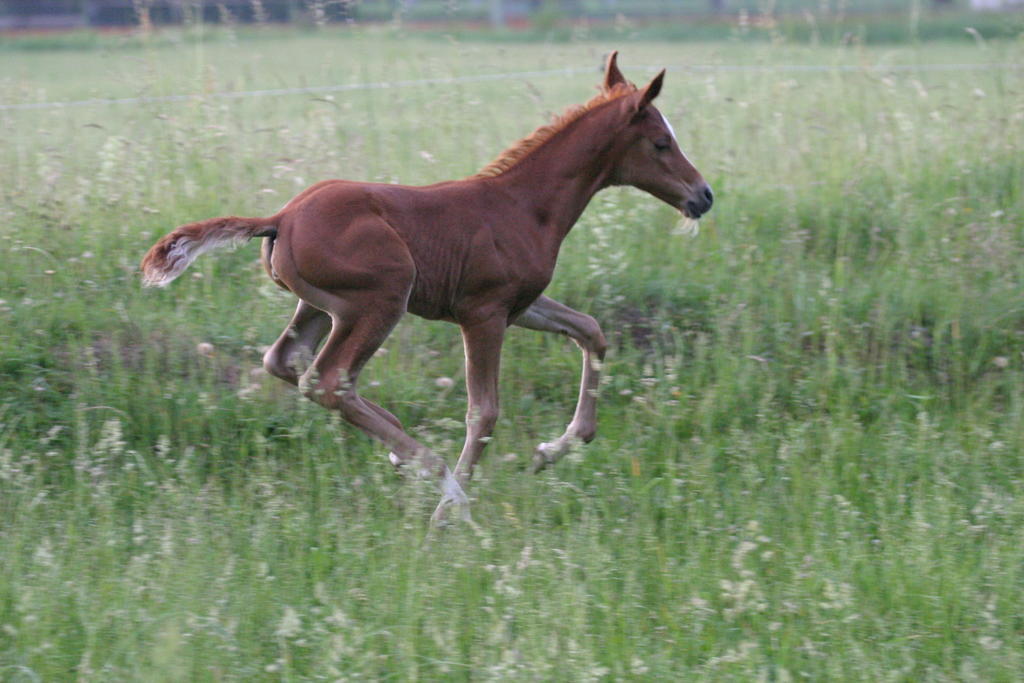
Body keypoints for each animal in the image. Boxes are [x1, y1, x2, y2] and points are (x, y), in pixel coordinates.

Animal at [140, 53, 708, 524]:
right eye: (661, 142)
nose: (703, 196)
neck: (524, 205)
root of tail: (280, 217)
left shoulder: (520, 305)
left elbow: (591, 331)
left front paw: (551, 451)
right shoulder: (484, 312)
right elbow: (484, 411)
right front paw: (451, 514)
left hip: (320, 306)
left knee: (287, 363)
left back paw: (405, 453)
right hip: (382, 298)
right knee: (328, 379)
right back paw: (440, 479)